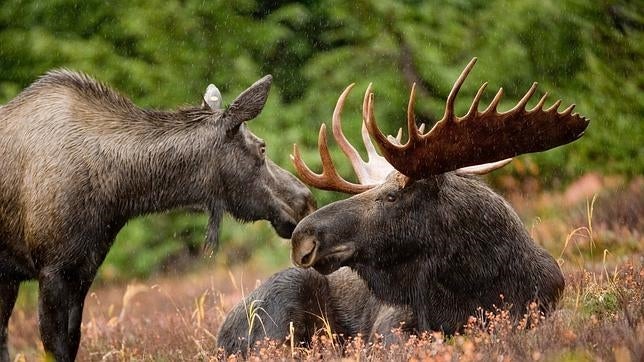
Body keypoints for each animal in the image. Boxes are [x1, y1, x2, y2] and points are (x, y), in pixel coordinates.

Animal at [0, 69, 316, 360]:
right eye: (262, 147)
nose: (306, 200)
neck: (118, 194)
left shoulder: (82, 269)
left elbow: (72, 341)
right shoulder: (52, 270)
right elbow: (55, 348)